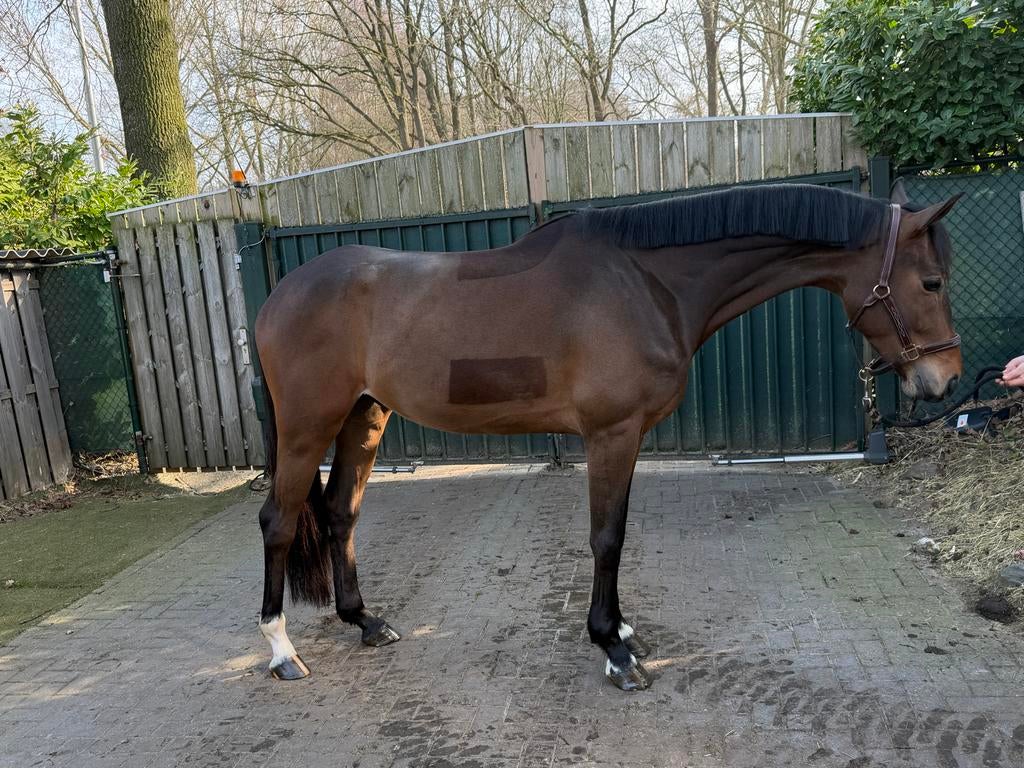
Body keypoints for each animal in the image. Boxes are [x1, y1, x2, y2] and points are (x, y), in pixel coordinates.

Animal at [253, 182, 962, 691]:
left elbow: (617, 531)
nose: (947, 378)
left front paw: (621, 629)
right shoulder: (610, 434)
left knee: (341, 513)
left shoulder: (629, 437)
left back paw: (365, 621)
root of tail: (277, 296)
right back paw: (282, 650)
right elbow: (606, 538)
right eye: (931, 282)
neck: (647, 283)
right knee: (279, 523)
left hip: (364, 416)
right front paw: (613, 649)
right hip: (308, 426)